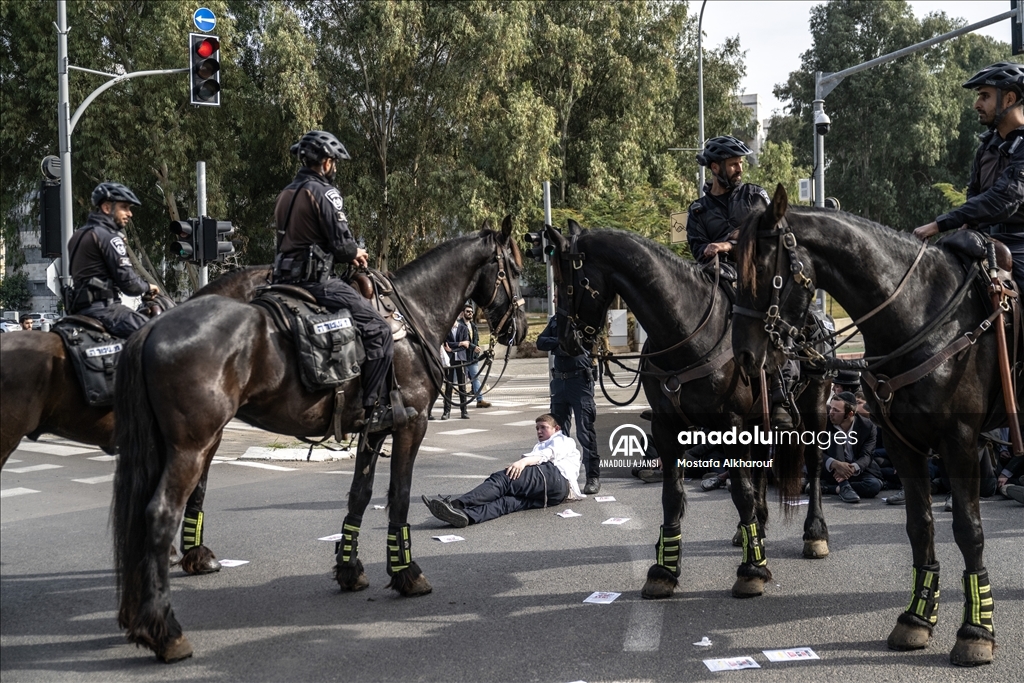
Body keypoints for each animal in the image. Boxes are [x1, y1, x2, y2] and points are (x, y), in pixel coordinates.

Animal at [113, 223, 528, 663]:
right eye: (516, 269)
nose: (518, 330)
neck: (413, 313)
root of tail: (154, 326)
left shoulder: (373, 429)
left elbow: (359, 495)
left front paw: (349, 569)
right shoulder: (411, 426)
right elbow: (399, 496)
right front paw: (406, 573)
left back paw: (143, 617)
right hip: (192, 445)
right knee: (159, 515)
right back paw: (166, 631)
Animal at [544, 220, 831, 602]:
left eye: (569, 282)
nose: (565, 341)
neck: (686, 332)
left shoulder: (730, 423)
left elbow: (739, 491)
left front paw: (752, 569)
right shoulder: (667, 429)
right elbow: (672, 496)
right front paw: (664, 569)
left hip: (814, 407)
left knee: (812, 464)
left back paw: (814, 532)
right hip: (757, 420)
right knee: (759, 469)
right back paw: (755, 528)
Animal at [733, 184, 1011, 663]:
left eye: (764, 269)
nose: (746, 356)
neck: (920, 315)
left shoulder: (959, 441)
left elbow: (968, 529)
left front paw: (976, 629)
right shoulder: (904, 444)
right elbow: (920, 525)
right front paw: (917, 618)